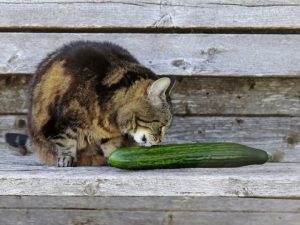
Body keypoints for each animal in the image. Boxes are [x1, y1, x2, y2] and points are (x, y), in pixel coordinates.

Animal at [4, 40, 175, 167]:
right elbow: (65, 141)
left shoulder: (110, 134)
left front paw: (112, 155)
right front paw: (66, 158)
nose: (160, 141)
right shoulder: (61, 123)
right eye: (162, 125)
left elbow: (111, 144)